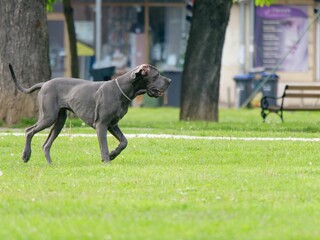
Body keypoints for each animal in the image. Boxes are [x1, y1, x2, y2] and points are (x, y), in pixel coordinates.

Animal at [8, 63, 170, 164]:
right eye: (157, 75)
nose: (169, 80)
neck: (123, 89)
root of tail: (44, 83)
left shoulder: (113, 125)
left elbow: (124, 141)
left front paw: (113, 154)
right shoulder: (101, 125)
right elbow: (104, 146)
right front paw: (107, 161)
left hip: (59, 121)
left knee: (46, 144)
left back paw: (51, 164)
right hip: (48, 117)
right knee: (29, 131)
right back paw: (26, 155)